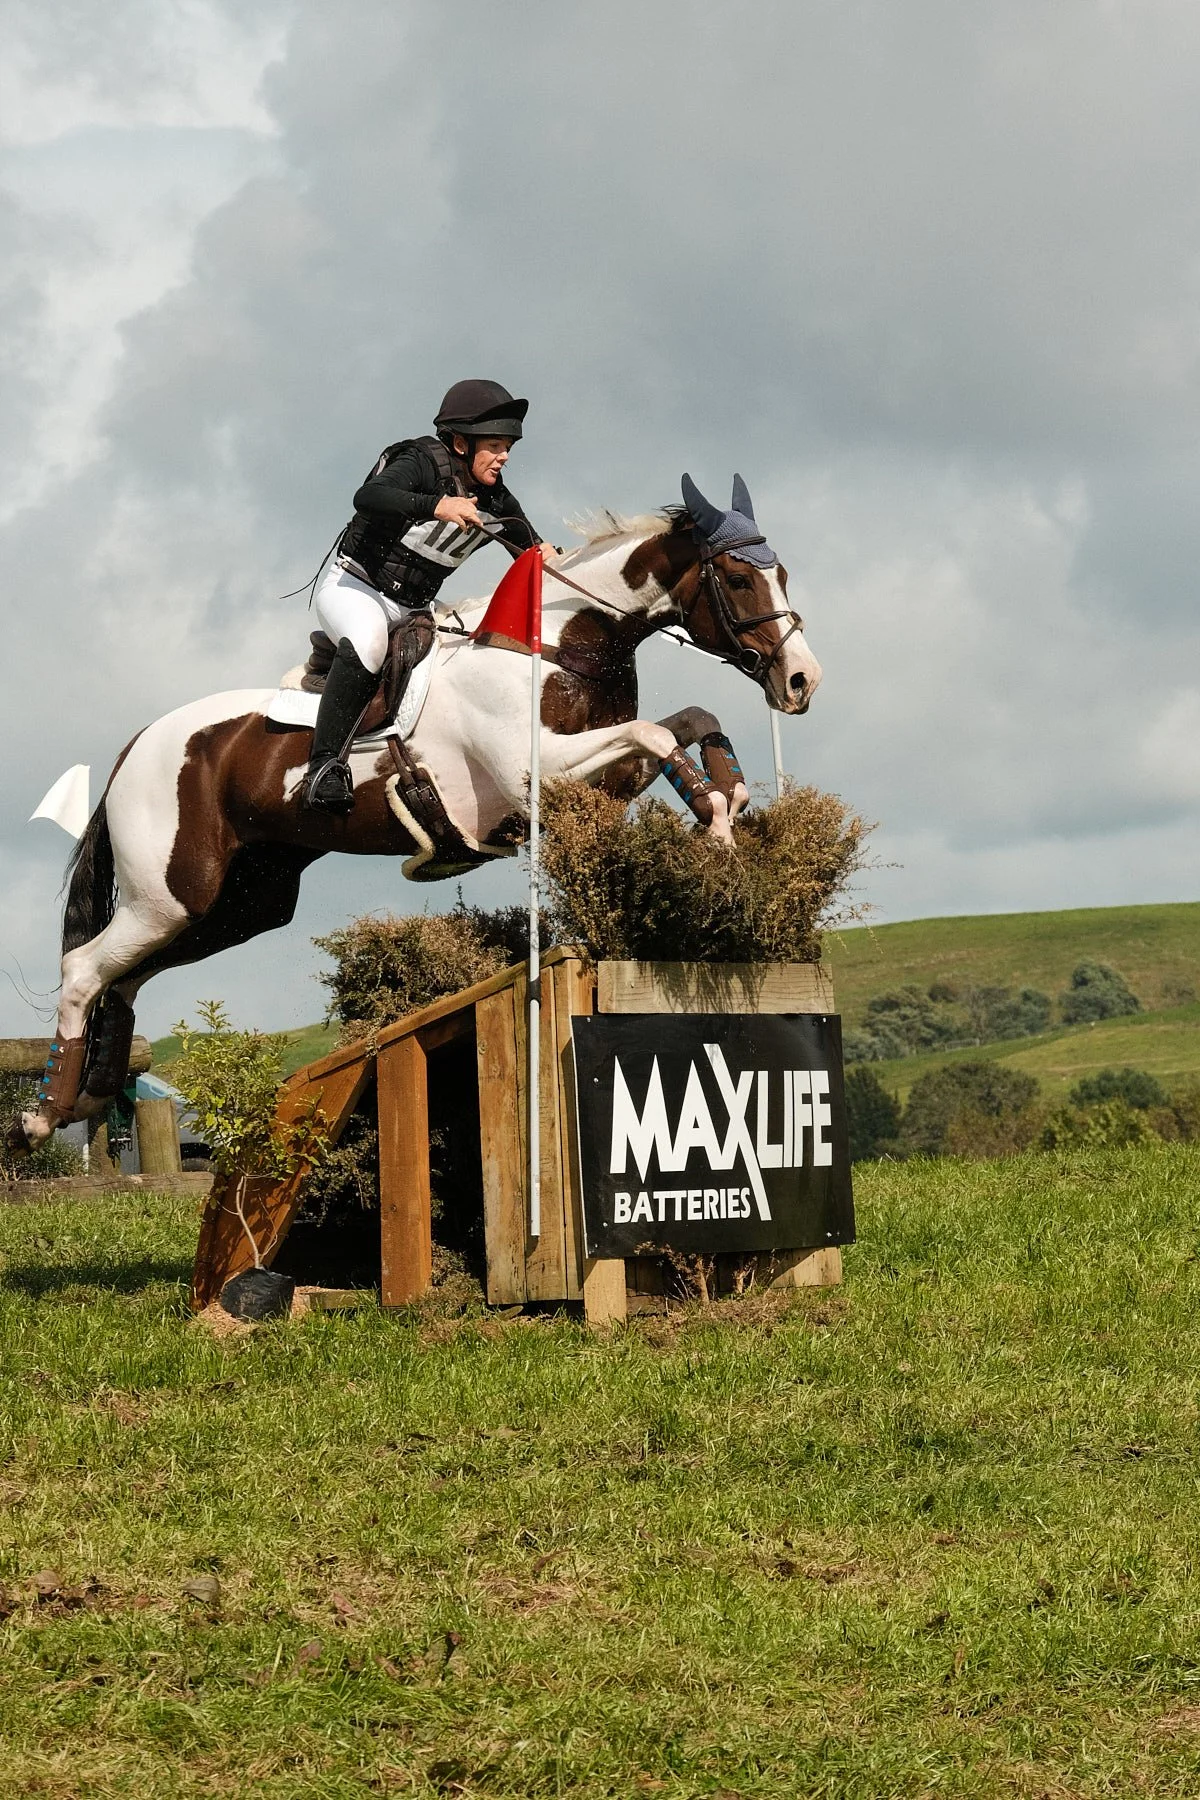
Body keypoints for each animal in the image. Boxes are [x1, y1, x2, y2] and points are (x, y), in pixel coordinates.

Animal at [13, 474, 823, 1151]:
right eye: (740, 577)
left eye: (782, 573)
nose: (801, 681)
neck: (557, 642)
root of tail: (136, 746)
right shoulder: (540, 774)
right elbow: (658, 732)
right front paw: (718, 829)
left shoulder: (603, 778)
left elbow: (688, 721)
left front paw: (729, 799)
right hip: (170, 893)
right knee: (85, 969)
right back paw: (44, 1115)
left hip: (240, 905)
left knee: (125, 978)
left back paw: (91, 1099)